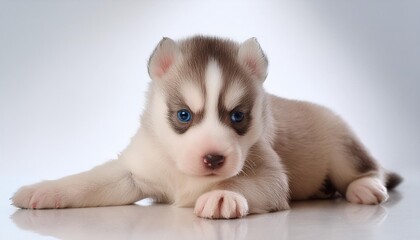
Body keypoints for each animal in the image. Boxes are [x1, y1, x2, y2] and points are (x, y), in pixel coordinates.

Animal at [12, 36, 400, 219]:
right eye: (184, 115)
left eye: (237, 116)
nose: (213, 159)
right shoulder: (133, 173)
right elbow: (90, 181)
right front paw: (44, 190)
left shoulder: (270, 176)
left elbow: (244, 181)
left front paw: (223, 194)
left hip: (341, 144)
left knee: (368, 168)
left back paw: (366, 187)